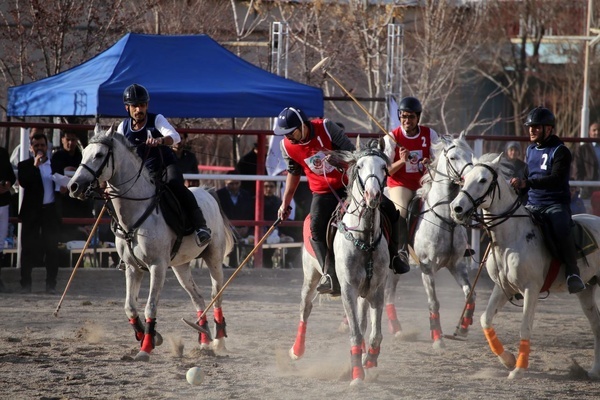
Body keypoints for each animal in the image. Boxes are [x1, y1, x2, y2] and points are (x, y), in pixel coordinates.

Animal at [67, 126, 233, 362]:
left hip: (214, 258)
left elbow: (150, 307)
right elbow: (130, 306)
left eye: (99, 155)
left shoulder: (157, 266)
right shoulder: (132, 268)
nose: (74, 186)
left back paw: (219, 341)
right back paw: (204, 340)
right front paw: (150, 336)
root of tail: (208, 192)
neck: (135, 213)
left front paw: (145, 348)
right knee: (198, 298)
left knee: (215, 295)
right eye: (83, 154)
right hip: (181, 266)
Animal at [290, 139, 392, 386]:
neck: (364, 238)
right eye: (360, 166)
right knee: (305, 307)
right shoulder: (348, 289)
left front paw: (370, 360)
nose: (373, 195)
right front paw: (357, 375)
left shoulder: (377, 290)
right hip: (311, 276)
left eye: (384, 167)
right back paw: (297, 351)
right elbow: (355, 333)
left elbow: (375, 333)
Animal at [382, 134, 476, 346]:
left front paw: (464, 327)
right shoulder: (427, 267)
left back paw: (397, 329)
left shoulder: (457, 265)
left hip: (396, 267)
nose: (471, 179)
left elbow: (470, 294)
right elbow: (434, 302)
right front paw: (437, 338)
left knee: (389, 292)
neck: (445, 218)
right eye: (453, 157)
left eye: (470, 154)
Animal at [450, 152, 600, 378]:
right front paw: (508, 360)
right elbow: (486, 319)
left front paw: (518, 369)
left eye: (483, 180)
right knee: (596, 324)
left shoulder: (531, 289)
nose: (456, 208)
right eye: (464, 178)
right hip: (586, 290)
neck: (512, 237)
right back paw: (595, 370)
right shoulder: (503, 288)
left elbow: (525, 327)